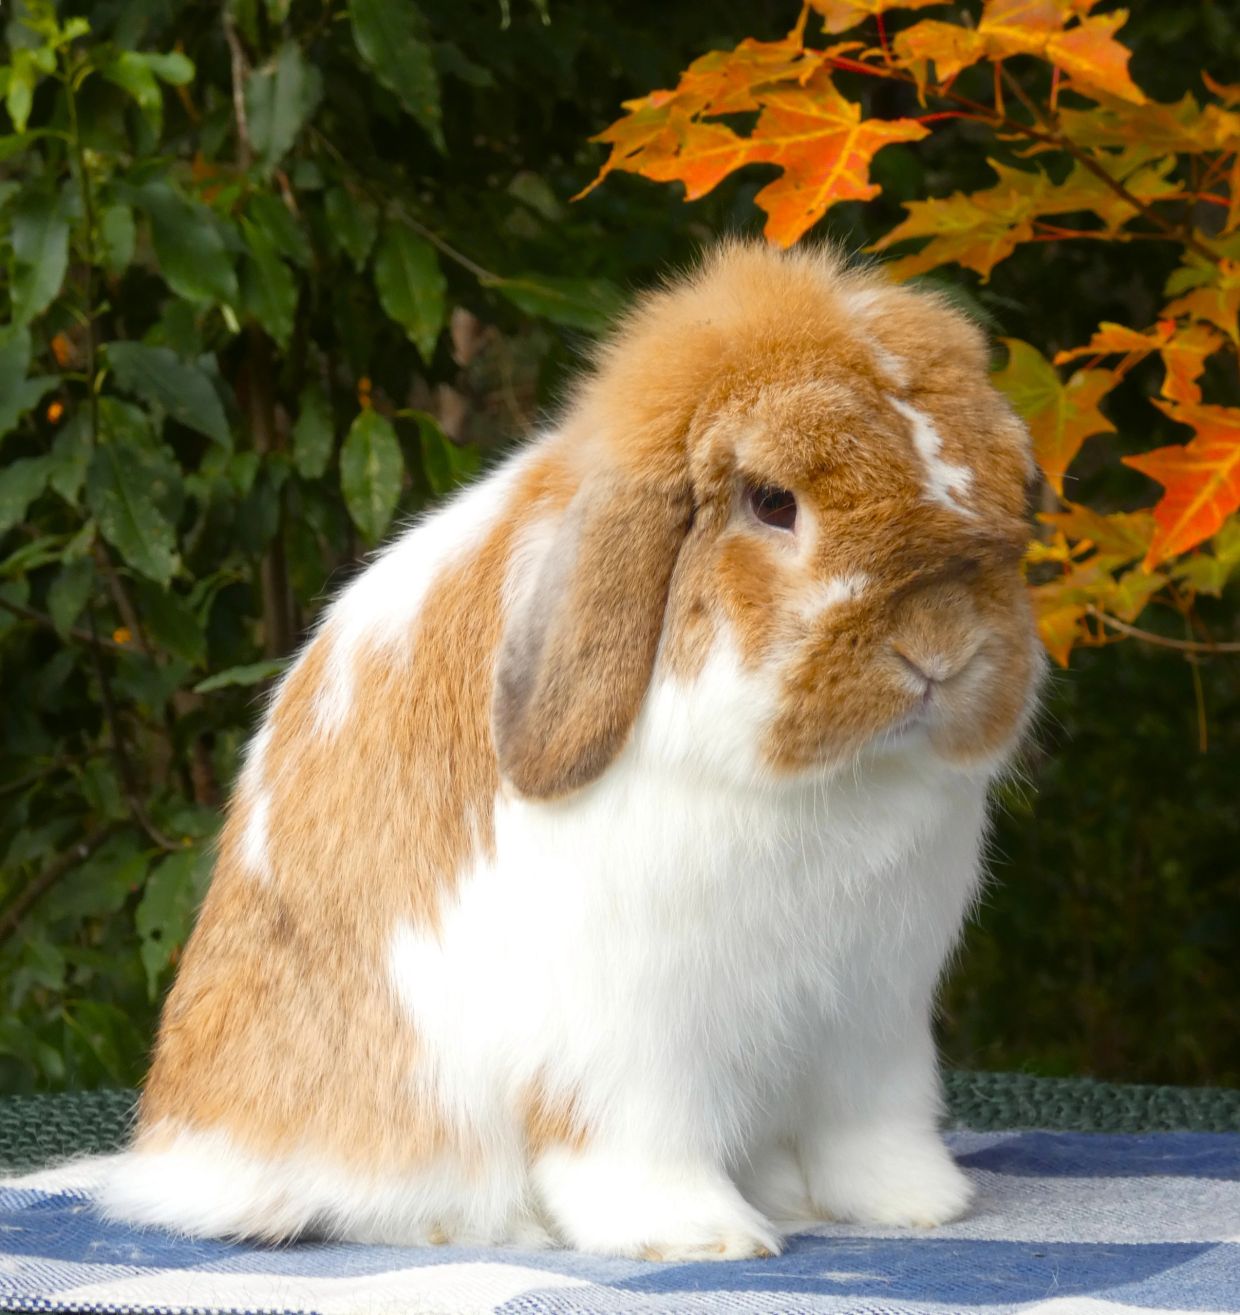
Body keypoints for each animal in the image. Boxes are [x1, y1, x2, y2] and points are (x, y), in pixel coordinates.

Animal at [99, 240, 1042, 1262]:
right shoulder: (634, 1035)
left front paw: (918, 1204)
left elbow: (871, 1130)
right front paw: (697, 1235)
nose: (941, 652)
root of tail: (181, 1148)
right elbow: (641, 1139)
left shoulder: (874, 1018)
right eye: (771, 501)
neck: (832, 783)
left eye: (1014, 494)